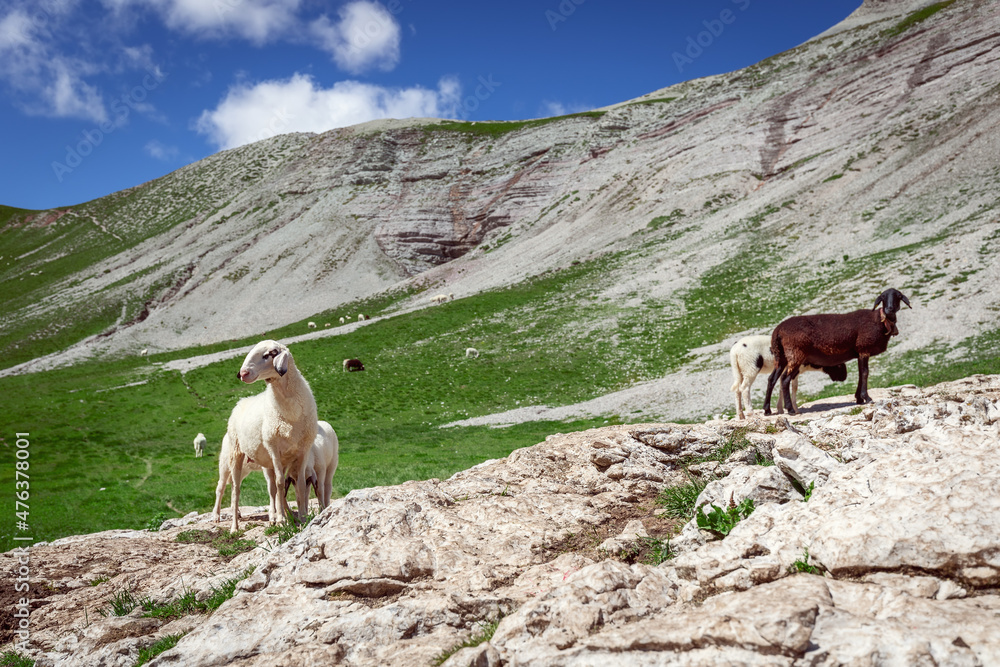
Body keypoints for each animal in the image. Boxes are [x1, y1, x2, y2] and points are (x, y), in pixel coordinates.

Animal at [225, 340, 318, 531]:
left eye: (268, 354)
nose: (242, 373)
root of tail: (241, 402)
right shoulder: (274, 448)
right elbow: (281, 483)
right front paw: (282, 520)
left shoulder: (303, 449)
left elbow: (297, 485)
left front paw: (302, 518)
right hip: (236, 453)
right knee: (236, 490)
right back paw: (234, 527)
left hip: (269, 461)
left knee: (272, 489)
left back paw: (278, 516)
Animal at [763, 288, 911, 416]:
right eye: (883, 297)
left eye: (898, 296)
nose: (889, 308)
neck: (880, 320)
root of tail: (777, 331)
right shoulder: (864, 349)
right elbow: (865, 373)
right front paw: (866, 397)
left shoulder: (859, 352)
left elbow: (860, 373)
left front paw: (859, 398)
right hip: (795, 354)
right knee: (784, 379)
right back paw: (790, 409)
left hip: (781, 356)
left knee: (772, 379)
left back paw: (767, 410)